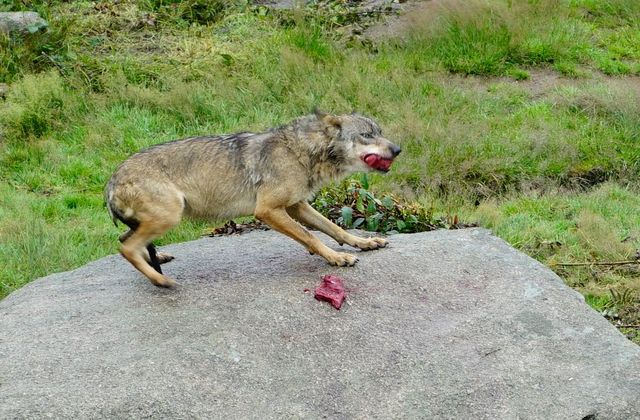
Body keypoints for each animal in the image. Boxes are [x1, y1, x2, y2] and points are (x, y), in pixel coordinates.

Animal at [105, 110, 402, 288]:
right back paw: (161, 281)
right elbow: (311, 236)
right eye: (367, 135)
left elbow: (335, 228)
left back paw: (160, 260)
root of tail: (110, 183)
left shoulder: (297, 205)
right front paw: (336, 258)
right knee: (126, 248)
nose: (399, 149)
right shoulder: (268, 211)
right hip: (170, 215)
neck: (300, 151)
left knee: (125, 240)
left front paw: (364, 243)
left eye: (380, 132)